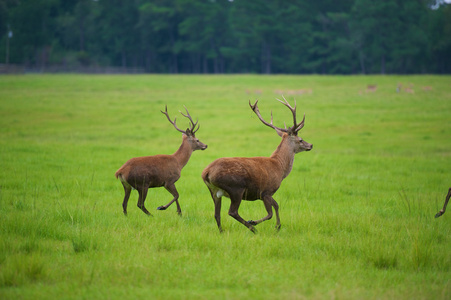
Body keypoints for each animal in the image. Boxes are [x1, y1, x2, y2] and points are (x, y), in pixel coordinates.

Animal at [202, 97, 312, 233]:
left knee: (217, 214)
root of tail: (206, 173)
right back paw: (252, 229)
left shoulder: (267, 193)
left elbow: (276, 205)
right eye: (300, 139)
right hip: (235, 188)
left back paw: (222, 232)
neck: (279, 168)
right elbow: (271, 212)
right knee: (232, 212)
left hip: (214, 191)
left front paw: (278, 226)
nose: (310, 145)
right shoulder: (266, 191)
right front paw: (255, 222)